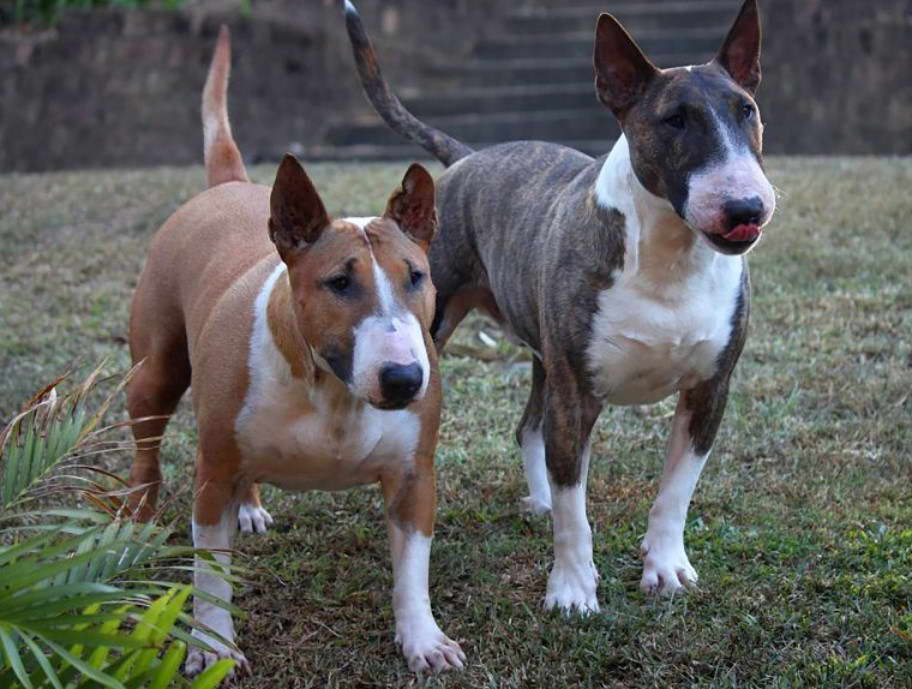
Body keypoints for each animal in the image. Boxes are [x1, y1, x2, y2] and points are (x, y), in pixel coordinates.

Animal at [126, 28, 464, 676]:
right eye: (339, 283)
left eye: (416, 275)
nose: (405, 379)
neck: (331, 387)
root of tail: (227, 185)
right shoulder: (211, 477)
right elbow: (211, 573)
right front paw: (213, 649)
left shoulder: (415, 476)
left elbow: (413, 568)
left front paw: (423, 639)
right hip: (155, 374)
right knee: (147, 453)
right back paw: (133, 523)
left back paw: (250, 506)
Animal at [346, 0, 772, 612]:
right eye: (675, 120)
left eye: (747, 111)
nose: (746, 207)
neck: (670, 257)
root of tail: (469, 158)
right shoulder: (576, 397)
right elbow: (576, 510)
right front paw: (572, 588)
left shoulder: (709, 390)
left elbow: (676, 490)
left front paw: (665, 567)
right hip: (443, 326)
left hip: (543, 350)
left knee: (528, 427)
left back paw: (541, 498)